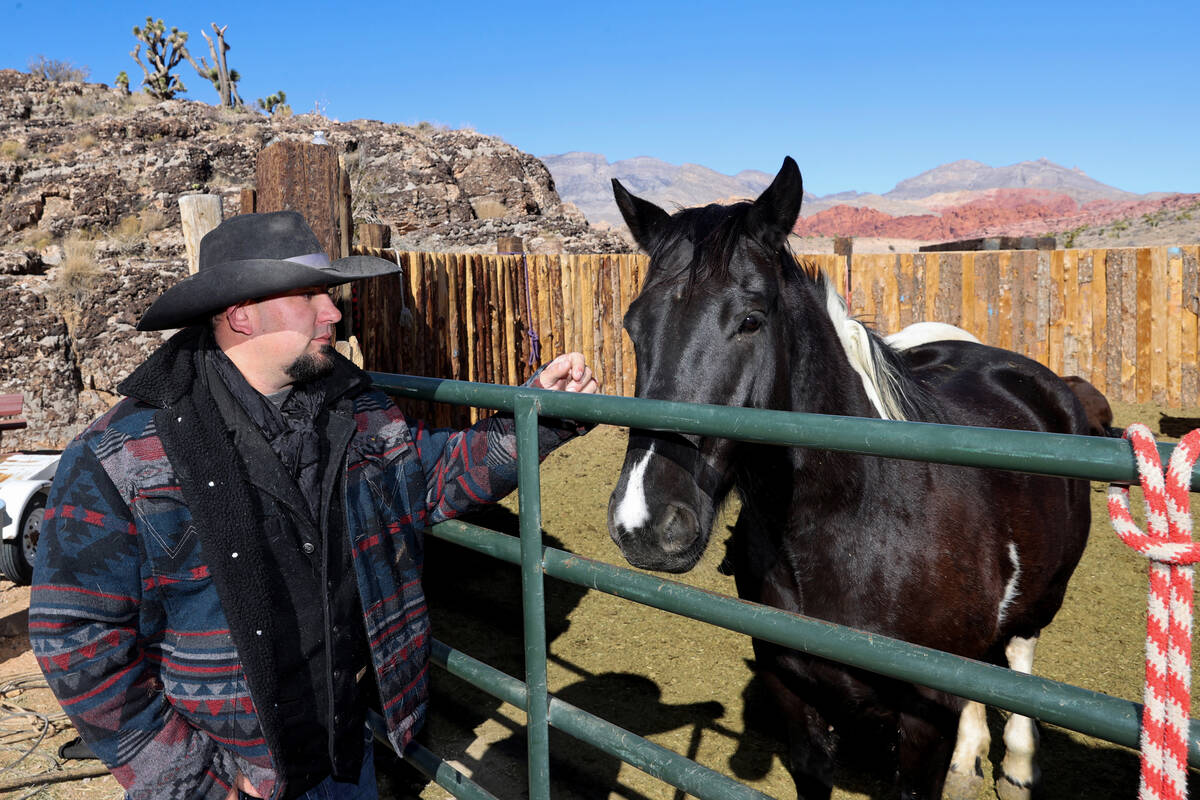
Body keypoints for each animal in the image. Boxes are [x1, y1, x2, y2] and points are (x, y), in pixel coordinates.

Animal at [604, 158, 1094, 800]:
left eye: (751, 320)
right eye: (634, 326)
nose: (644, 522)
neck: (860, 526)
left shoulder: (923, 721)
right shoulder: (795, 696)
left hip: (1046, 595)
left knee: (1019, 654)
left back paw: (1016, 763)